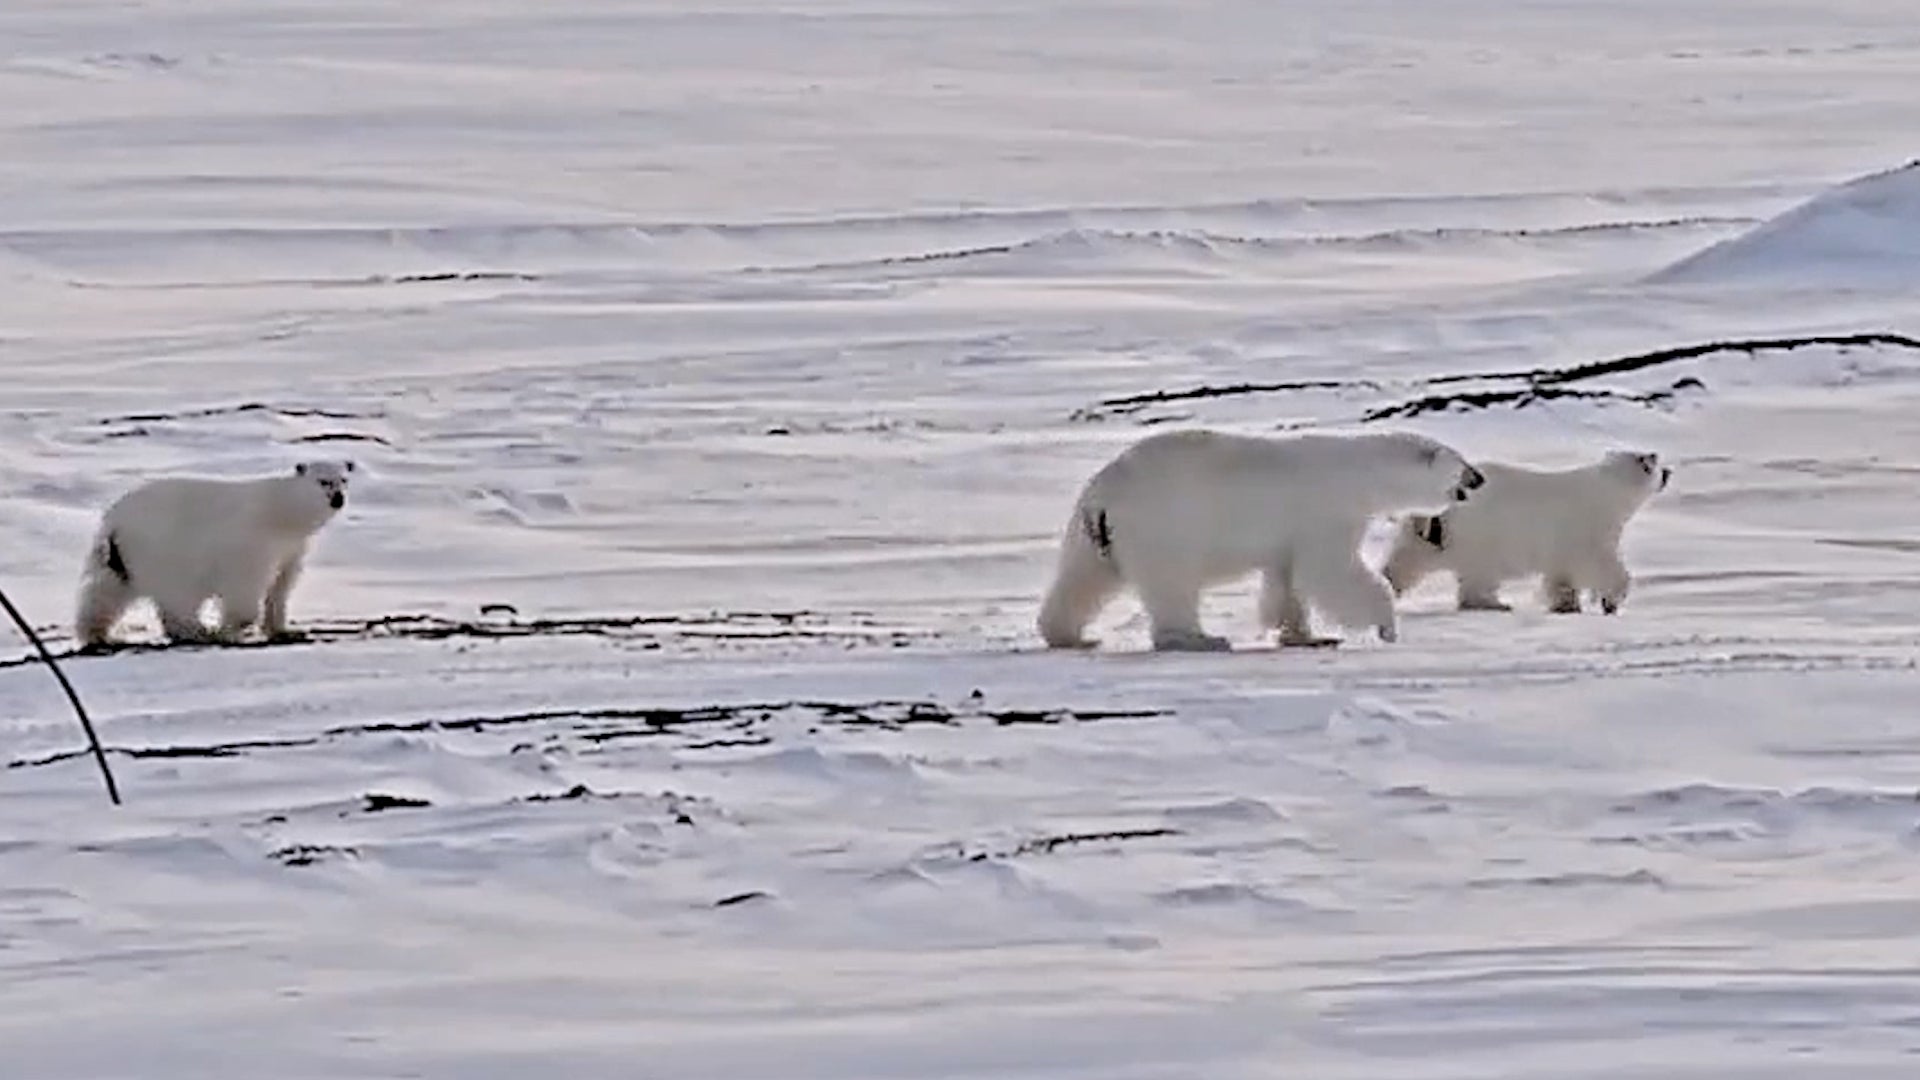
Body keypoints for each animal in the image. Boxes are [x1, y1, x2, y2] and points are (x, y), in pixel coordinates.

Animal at [74, 460, 355, 650]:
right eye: (323, 481)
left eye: (343, 479)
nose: (338, 498)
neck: (281, 514)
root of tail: (114, 522)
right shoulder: (251, 542)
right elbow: (246, 584)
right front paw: (227, 629)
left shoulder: (292, 547)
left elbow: (281, 584)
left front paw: (286, 631)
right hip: (161, 549)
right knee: (178, 596)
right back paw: (200, 631)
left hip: (117, 556)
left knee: (106, 590)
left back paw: (97, 632)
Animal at [1036, 428, 1485, 652]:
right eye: (1461, 465)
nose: (1479, 478)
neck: (1360, 472)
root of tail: (1103, 495)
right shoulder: (1325, 510)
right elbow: (1332, 571)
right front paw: (1387, 626)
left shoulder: (1290, 534)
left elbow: (1287, 579)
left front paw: (1307, 635)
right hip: (1164, 523)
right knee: (1171, 582)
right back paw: (1198, 638)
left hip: (1094, 533)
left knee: (1083, 577)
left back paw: (1069, 635)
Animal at [1379, 449, 1671, 615]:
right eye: (1654, 463)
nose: (1668, 471)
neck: (1607, 492)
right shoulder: (1589, 527)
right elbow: (1602, 563)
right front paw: (1611, 601)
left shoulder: (1562, 544)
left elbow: (1560, 575)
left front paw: (1566, 605)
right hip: (1481, 534)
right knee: (1480, 573)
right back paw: (1495, 603)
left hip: (1429, 532)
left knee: (1407, 558)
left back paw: (1387, 585)